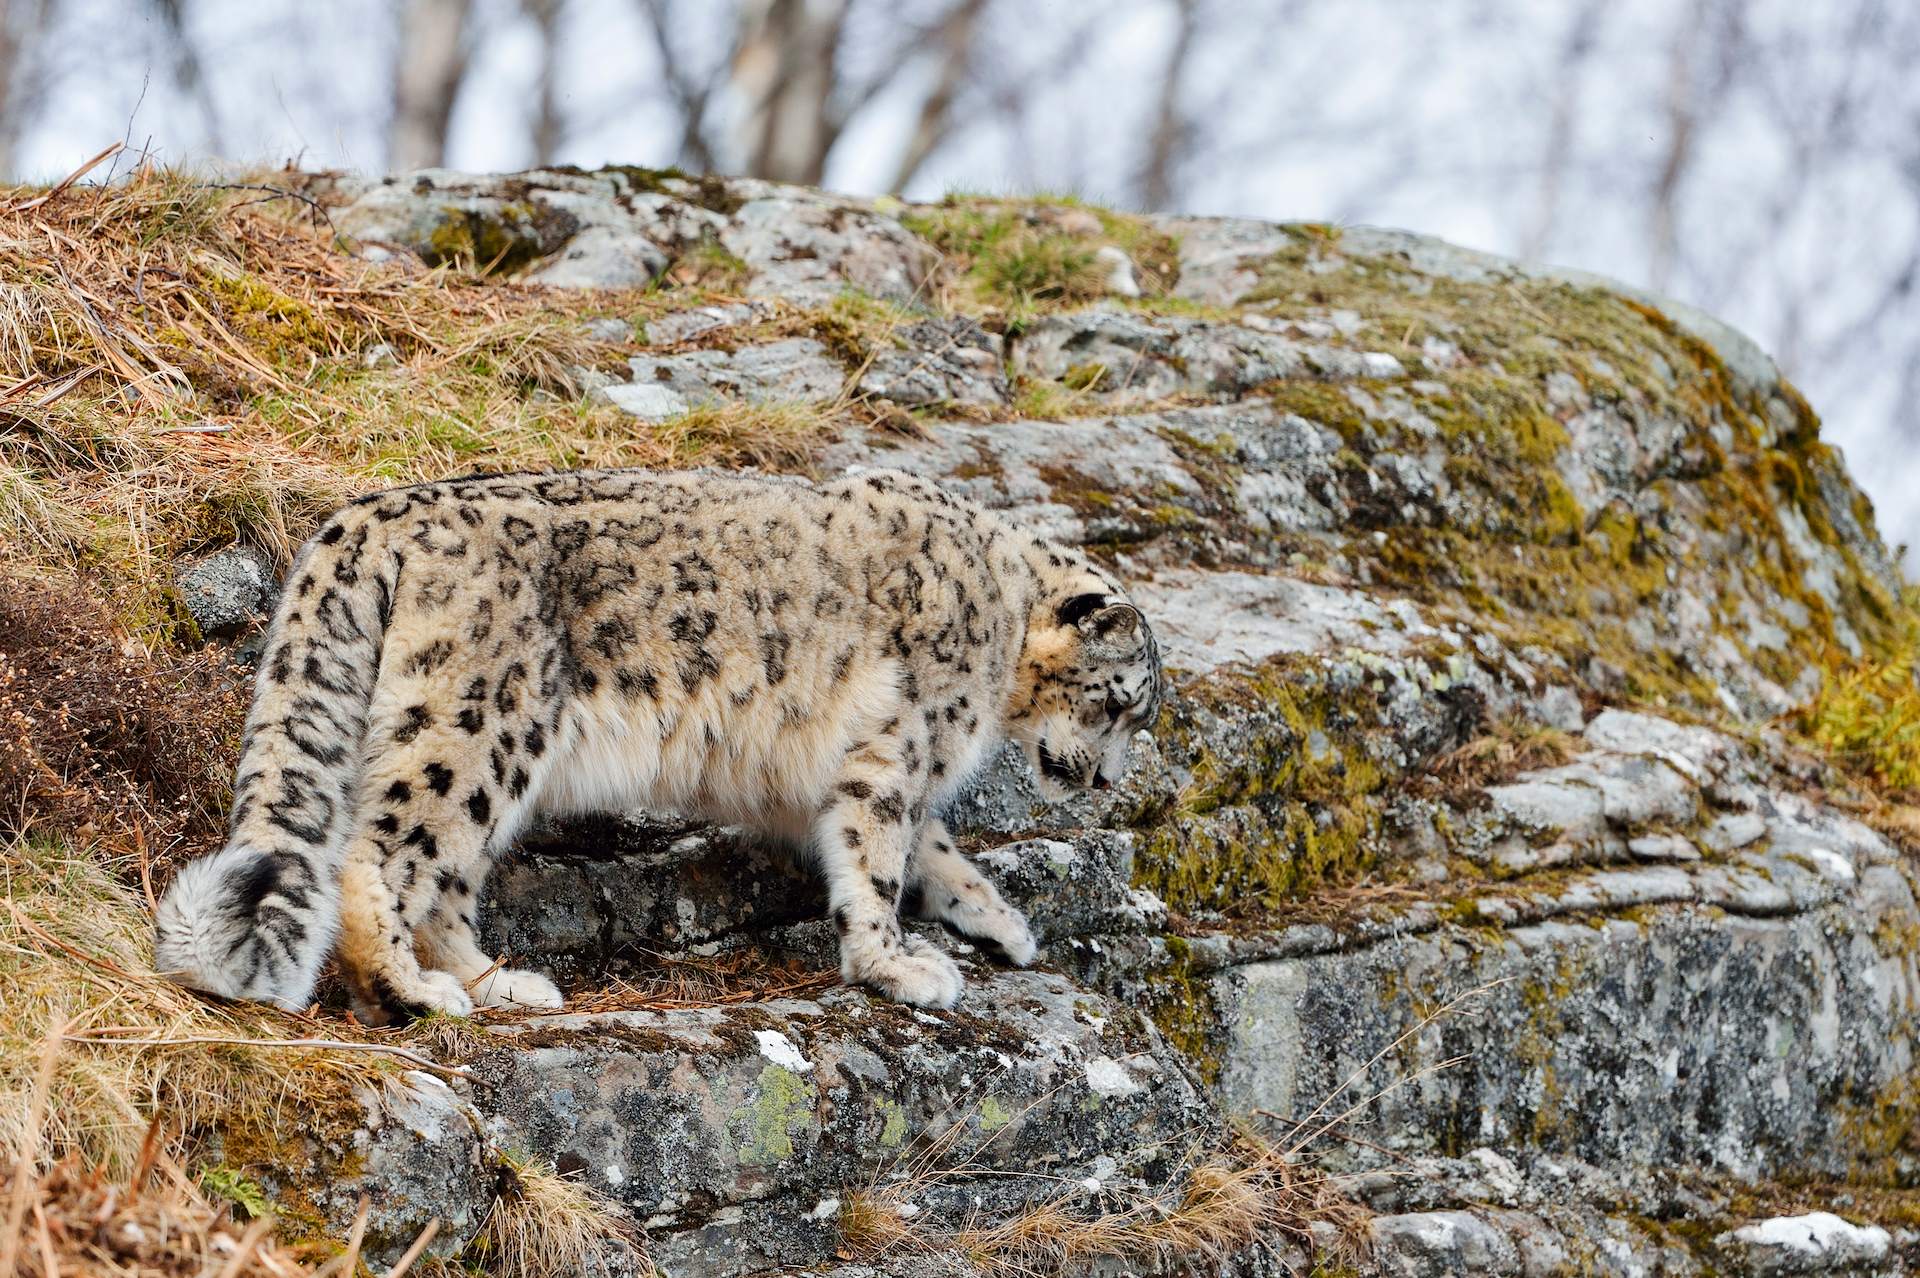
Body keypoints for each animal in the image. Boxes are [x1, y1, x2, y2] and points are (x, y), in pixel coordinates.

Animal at [153, 466, 1163, 1023]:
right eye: (1122, 707)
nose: (1107, 783)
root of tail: (367, 515)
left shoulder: (826, 781)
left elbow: (934, 849)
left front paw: (999, 920)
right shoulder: (897, 751)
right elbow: (881, 857)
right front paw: (899, 966)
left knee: (445, 878)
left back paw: (499, 982)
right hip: (480, 725)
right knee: (383, 855)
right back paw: (414, 993)